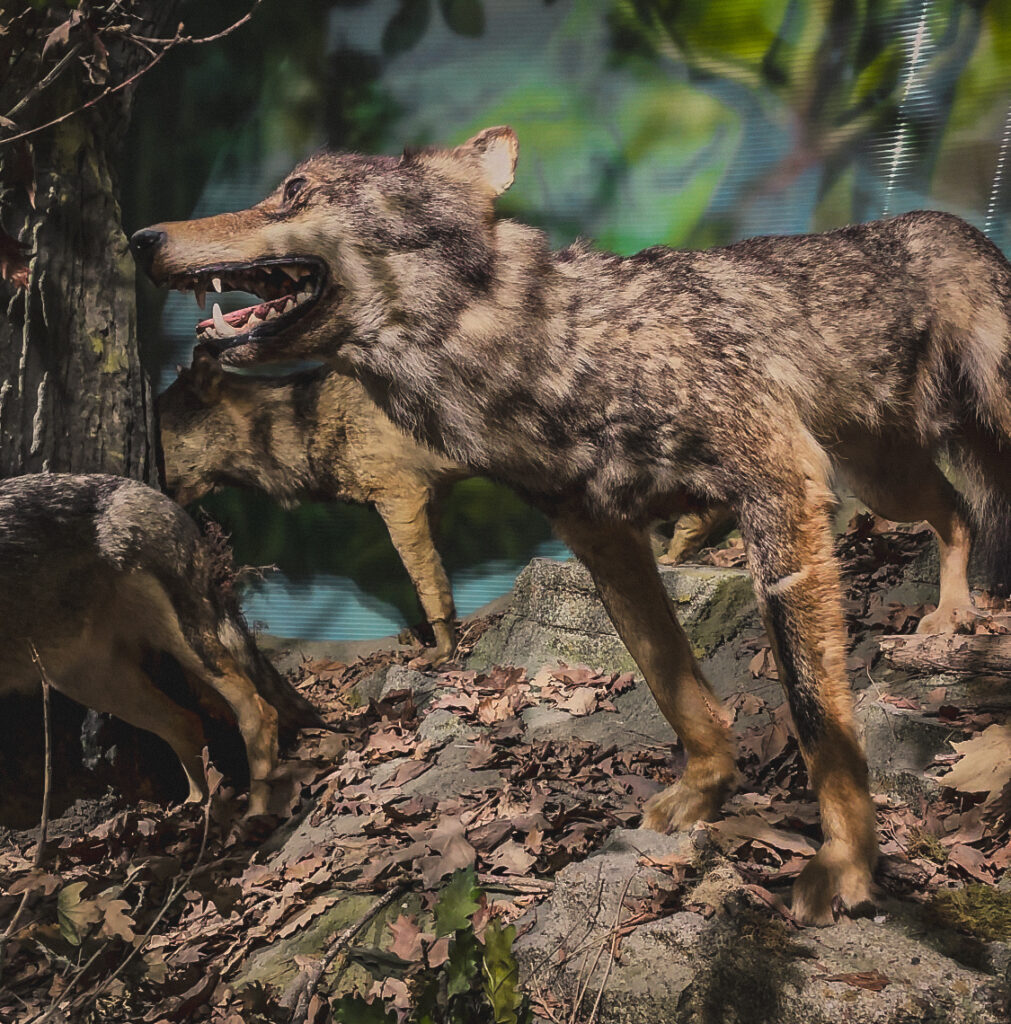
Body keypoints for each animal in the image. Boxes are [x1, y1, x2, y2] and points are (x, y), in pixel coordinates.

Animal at [0, 473, 319, 815]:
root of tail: (148, 490)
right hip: (92, 684)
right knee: (186, 723)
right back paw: (194, 809)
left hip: (181, 642)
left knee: (257, 712)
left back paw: (254, 813)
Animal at [157, 344, 471, 663]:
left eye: (157, 426)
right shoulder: (432, 496)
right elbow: (434, 575)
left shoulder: (402, 498)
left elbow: (426, 583)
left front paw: (443, 649)